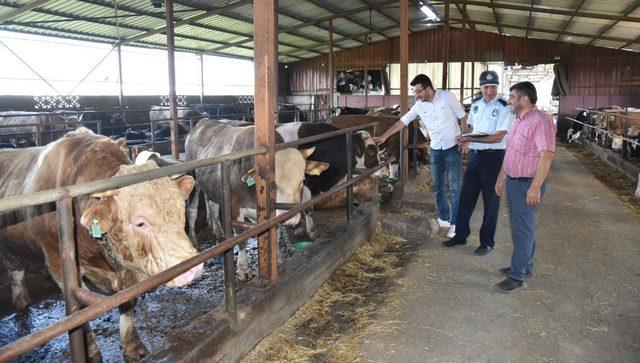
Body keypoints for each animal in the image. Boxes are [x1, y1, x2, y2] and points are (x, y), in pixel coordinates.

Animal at [0, 128, 201, 362]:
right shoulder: (58, 263)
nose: (194, 267)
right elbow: (79, 311)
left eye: (180, 209)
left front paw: (132, 345)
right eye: (140, 222)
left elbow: (127, 301)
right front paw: (92, 352)